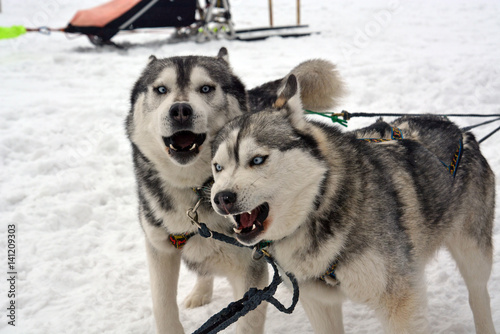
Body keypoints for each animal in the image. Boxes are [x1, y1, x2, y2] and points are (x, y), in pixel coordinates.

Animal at [125, 47, 344, 334]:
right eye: (161, 89)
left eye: (206, 88)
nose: (180, 110)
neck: (195, 188)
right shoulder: (159, 250)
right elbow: (163, 308)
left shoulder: (251, 270)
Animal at [211, 75, 496, 334]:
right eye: (218, 167)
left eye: (258, 160)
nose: (221, 198)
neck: (320, 204)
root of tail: (460, 130)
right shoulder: (318, 302)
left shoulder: (400, 303)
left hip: (473, 254)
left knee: (478, 295)